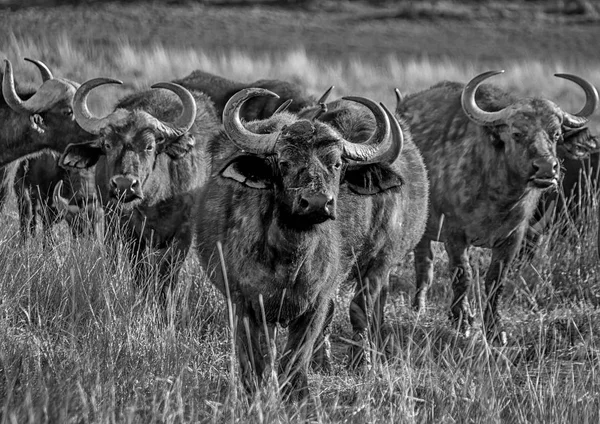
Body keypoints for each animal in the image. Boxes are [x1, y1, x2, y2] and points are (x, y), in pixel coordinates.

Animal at [60, 78, 220, 294]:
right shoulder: (130, 232)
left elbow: (167, 276)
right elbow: (140, 273)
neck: (154, 202)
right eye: (107, 145)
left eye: (149, 146)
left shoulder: (183, 233)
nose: (124, 185)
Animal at [196, 88, 426, 400]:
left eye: (337, 164)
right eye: (284, 162)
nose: (317, 203)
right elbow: (255, 357)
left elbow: (296, 355)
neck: (289, 257)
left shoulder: (317, 302)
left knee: (362, 309)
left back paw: (360, 362)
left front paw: (298, 393)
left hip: (377, 262)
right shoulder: (243, 302)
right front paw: (254, 393)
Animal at [396, 69, 596, 342]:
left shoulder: (513, 237)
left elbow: (495, 280)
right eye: (517, 133)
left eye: (555, 134)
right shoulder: (453, 233)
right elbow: (463, 274)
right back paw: (419, 307)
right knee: (424, 264)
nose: (546, 168)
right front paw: (462, 320)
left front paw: (494, 328)